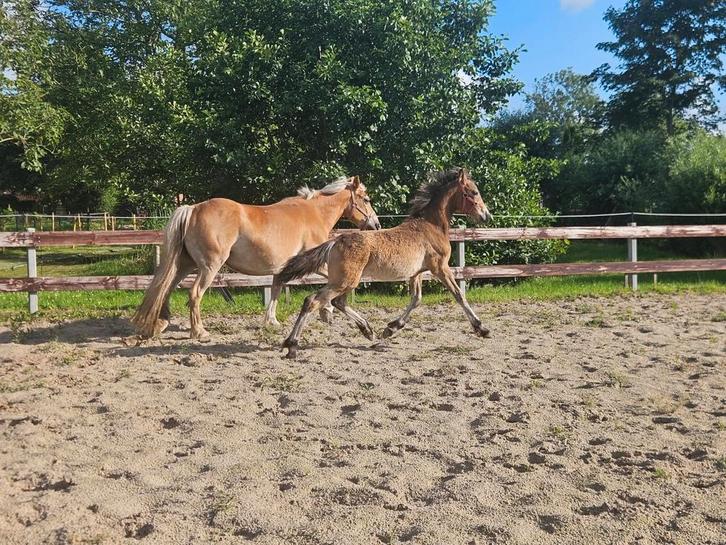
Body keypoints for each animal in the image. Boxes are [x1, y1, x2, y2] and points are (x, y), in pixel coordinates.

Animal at [131, 176, 380, 339]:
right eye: (366, 199)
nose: (376, 225)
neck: (314, 213)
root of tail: (193, 209)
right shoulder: (312, 262)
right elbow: (329, 281)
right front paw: (327, 311)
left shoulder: (283, 268)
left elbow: (277, 289)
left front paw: (272, 321)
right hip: (209, 267)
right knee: (193, 294)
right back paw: (199, 332)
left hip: (185, 264)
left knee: (165, 288)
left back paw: (159, 324)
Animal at [277, 167, 493, 359]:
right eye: (474, 192)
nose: (486, 216)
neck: (431, 226)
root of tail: (335, 241)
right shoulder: (440, 268)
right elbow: (459, 295)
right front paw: (482, 328)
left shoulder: (416, 273)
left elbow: (416, 299)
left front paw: (390, 329)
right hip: (344, 281)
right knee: (312, 301)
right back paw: (292, 346)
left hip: (347, 281)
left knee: (338, 302)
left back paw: (367, 330)